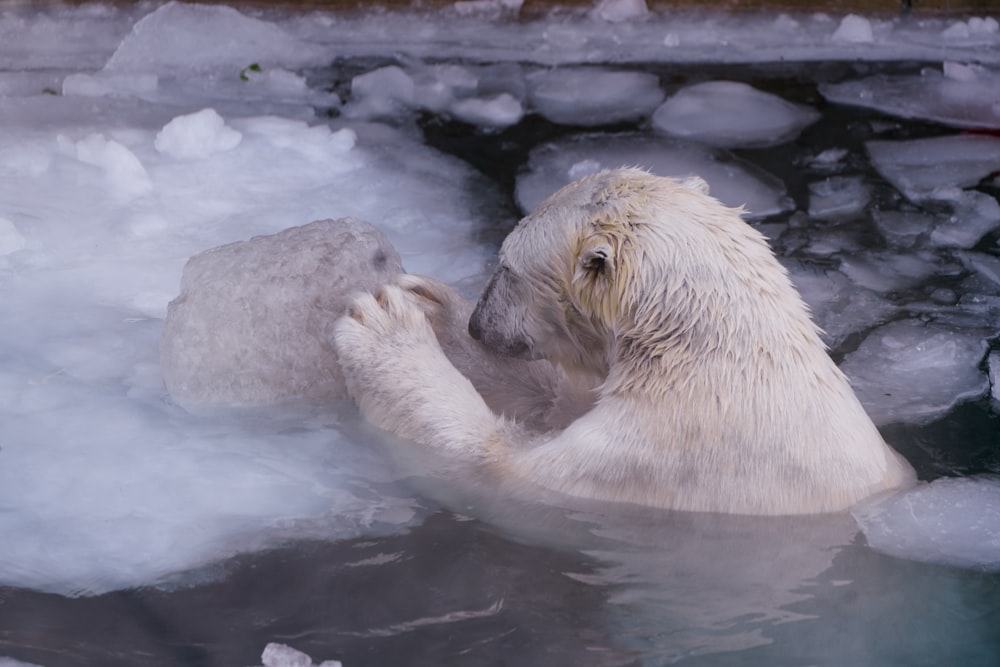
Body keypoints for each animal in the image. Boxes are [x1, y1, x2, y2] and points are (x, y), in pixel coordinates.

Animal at [334, 168, 916, 516]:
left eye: (507, 264)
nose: (480, 324)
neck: (714, 366)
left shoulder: (651, 457)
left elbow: (494, 464)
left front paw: (383, 326)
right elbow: (556, 399)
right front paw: (435, 308)